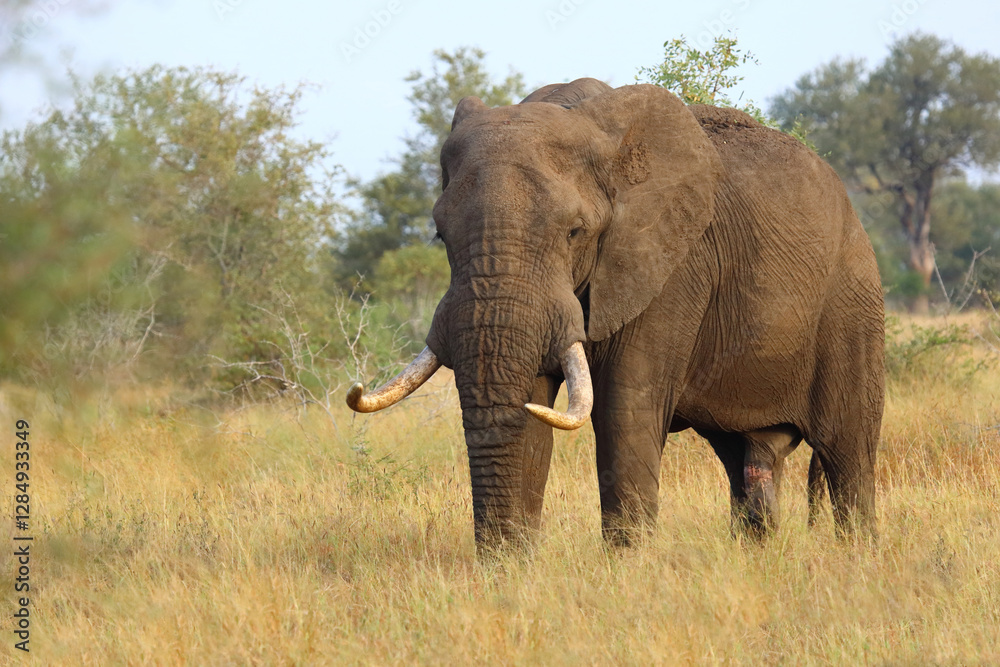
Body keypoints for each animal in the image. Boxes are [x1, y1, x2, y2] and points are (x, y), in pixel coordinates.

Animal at [347, 78, 885, 548]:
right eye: (440, 235)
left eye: (574, 232)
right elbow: (533, 409)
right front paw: (511, 572)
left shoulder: (672, 265)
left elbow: (624, 410)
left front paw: (627, 569)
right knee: (748, 459)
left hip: (852, 302)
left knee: (848, 454)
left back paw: (856, 554)